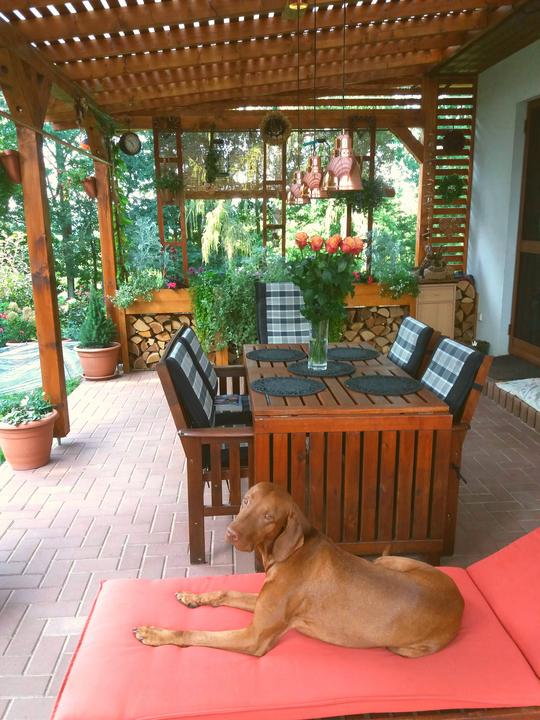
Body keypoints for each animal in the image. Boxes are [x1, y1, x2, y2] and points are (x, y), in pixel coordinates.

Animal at [134, 482, 464, 657]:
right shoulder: (261, 602)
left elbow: (193, 632)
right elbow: (225, 590)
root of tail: (460, 601)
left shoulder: (254, 638)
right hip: (389, 563)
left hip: (403, 648)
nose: (231, 533)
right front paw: (193, 596)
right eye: (246, 500)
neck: (290, 552)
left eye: (269, 517)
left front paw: (156, 633)